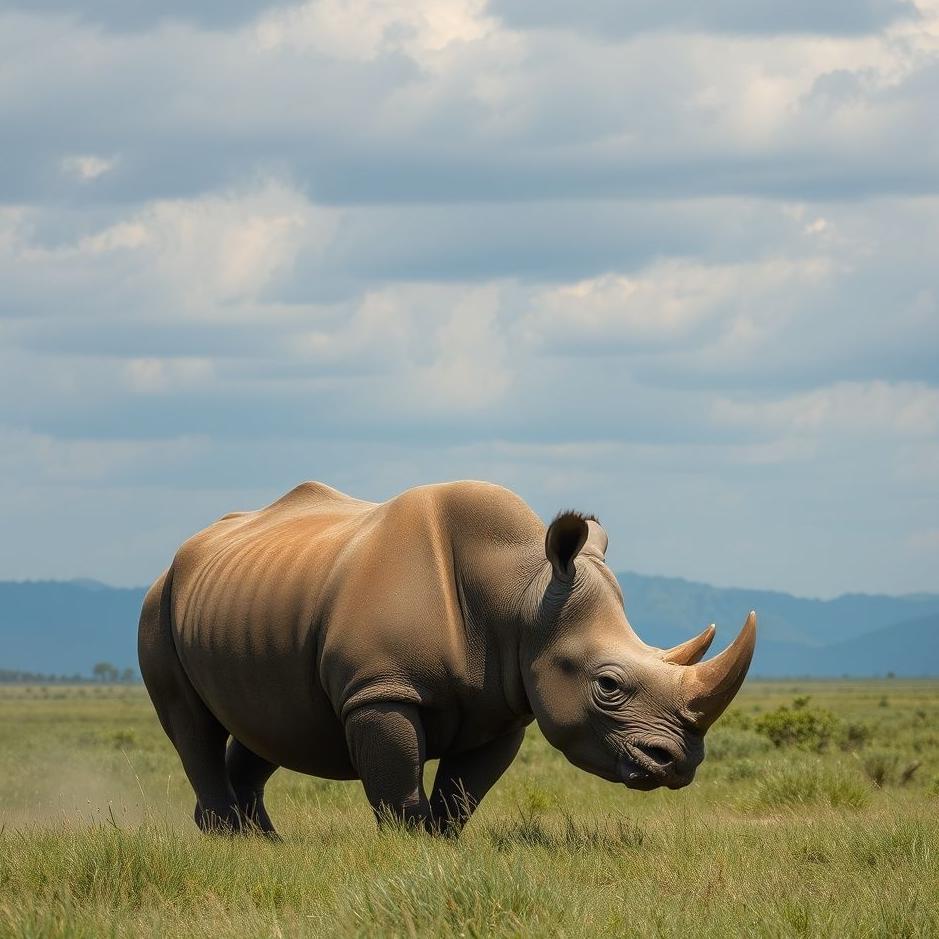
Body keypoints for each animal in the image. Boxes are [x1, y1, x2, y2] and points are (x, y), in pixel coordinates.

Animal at [139, 480, 756, 837]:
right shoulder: (379, 689)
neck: (522, 591)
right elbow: (396, 785)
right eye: (608, 685)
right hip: (159, 602)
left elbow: (462, 793)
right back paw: (229, 838)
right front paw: (408, 849)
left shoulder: (504, 705)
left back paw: (261, 841)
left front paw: (441, 847)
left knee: (273, 721)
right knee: (191, 723)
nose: (678, 764)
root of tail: (182, 553)